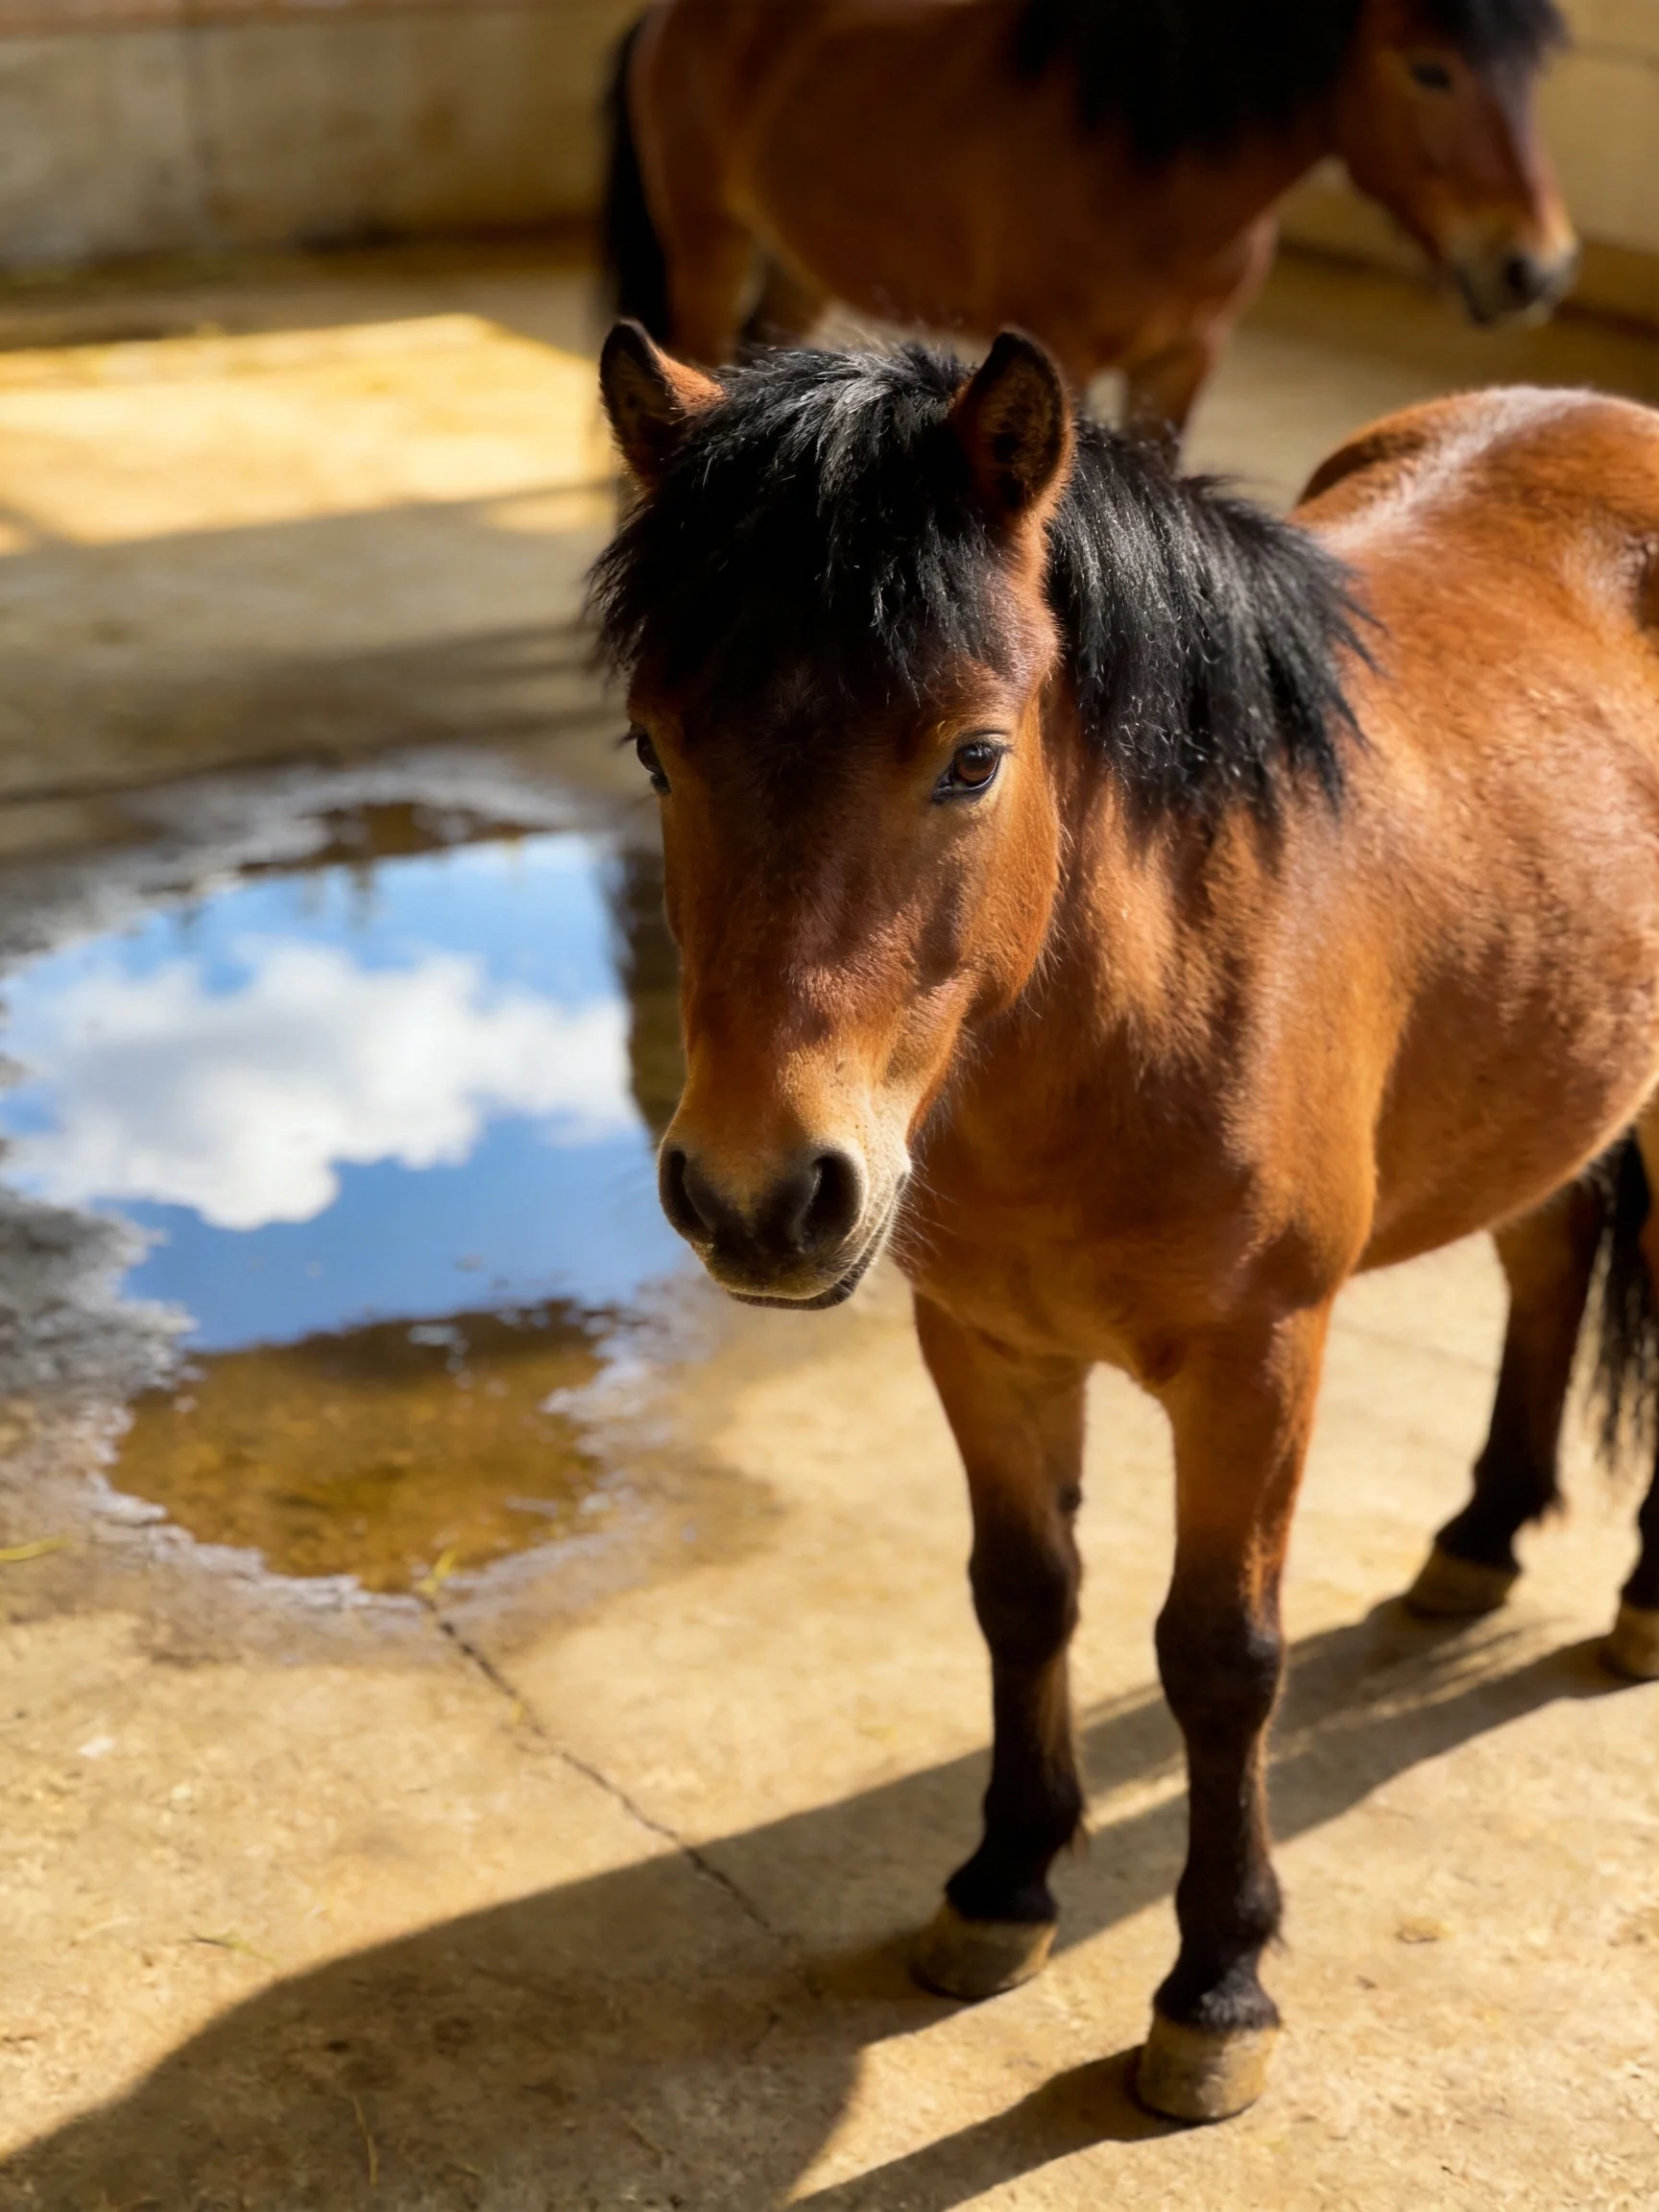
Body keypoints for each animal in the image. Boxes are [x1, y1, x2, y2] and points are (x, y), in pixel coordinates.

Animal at [589, 317, 1659, 2123]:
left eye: (972, 756)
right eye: (658, 747)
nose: (758, 1193)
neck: (1127, 1003)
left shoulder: (1256, 1364)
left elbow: (1218, 1655)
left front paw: (1214, 1985)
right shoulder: (983, 1339)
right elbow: (1023, 1593)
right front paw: (1002, 1884)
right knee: (1544, 1250)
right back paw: (1476, 1538)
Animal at [601, 0, 1578, 443]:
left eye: (1533, 77)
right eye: (1429, 69)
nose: (1538, 268)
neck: (1150, 168)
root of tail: (666, 16)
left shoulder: (1182, 366)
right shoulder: (1059, 357)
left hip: (800, 272)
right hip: (710, 251)